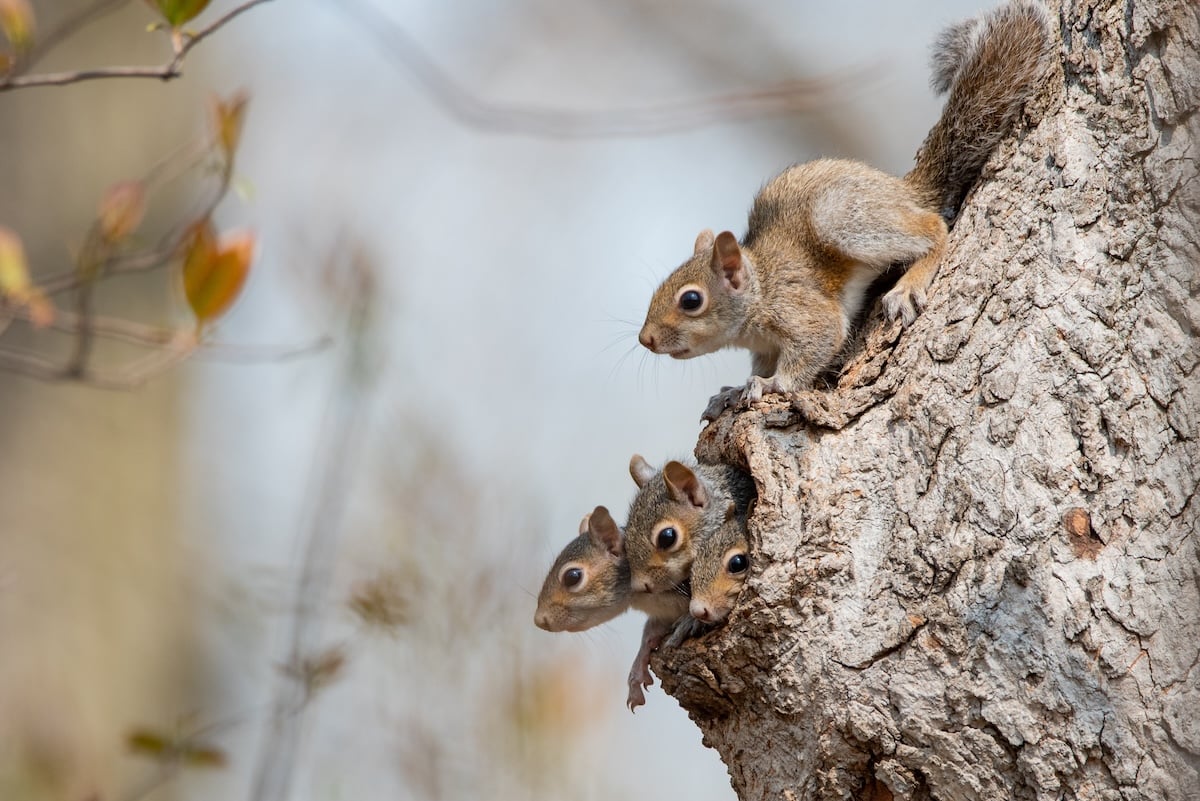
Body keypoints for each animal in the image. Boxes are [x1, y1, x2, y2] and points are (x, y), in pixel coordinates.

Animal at [636, 1, 1052, 415]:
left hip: (842, 220)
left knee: (933, 229)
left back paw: (908, 285)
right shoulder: (765, 346)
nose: (646, 339)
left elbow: (817, 342)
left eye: (691, 300)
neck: (760, 290)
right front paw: (733, 390)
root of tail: (904, 192)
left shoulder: (801, 310)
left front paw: (771, 385)